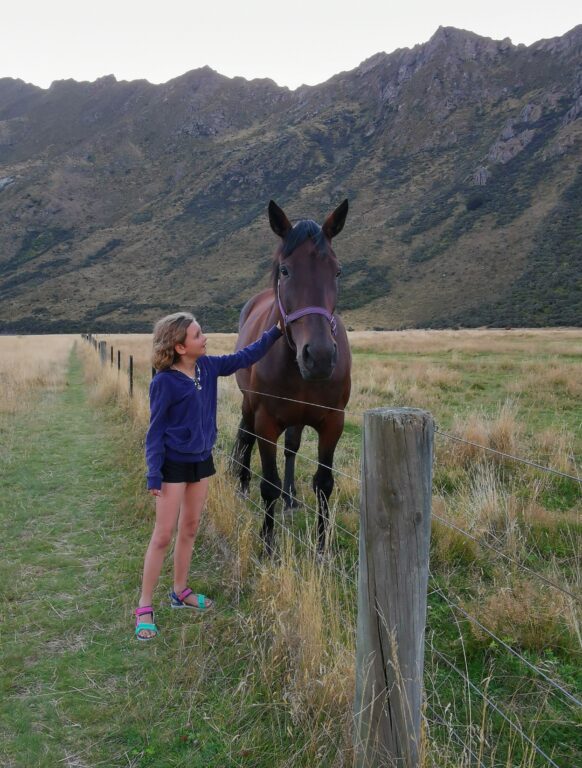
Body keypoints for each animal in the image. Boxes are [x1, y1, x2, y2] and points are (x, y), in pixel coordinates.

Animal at [233, 198, 352, 556]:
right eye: (285, 270)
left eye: (337, 271)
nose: (321, 357)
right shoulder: (266, 421)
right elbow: (268, 484)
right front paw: (268, 543)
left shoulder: (333, 422)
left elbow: (324, 483)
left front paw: (322, 547)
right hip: (249, 406)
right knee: (245, 438)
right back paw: (242, 486)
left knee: (292, 449)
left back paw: (290, 498)